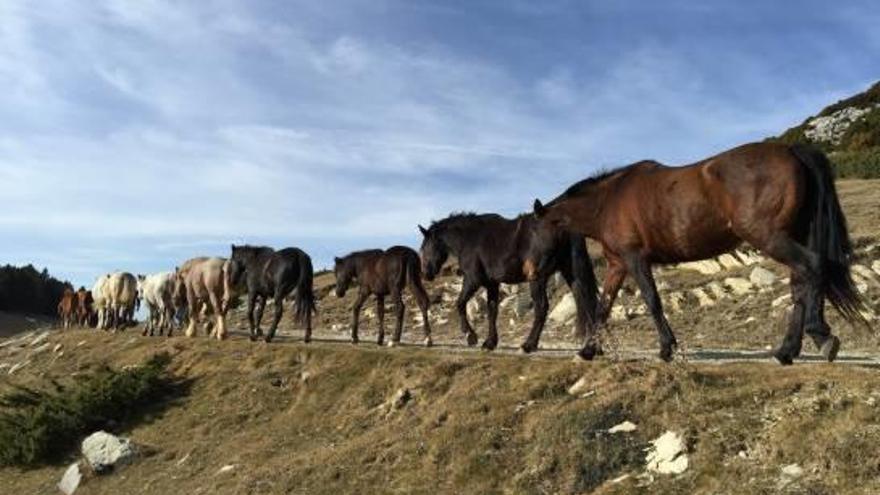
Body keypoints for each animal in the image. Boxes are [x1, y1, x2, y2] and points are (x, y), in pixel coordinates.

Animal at [418, 213, 600, 352]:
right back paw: (590, 345)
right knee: (585, 300)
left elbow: (460, 303)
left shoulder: (472, 280)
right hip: (570, 272)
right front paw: (490, 342)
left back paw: (529, 345)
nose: (426, 274)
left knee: (542, 307)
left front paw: (470, 336)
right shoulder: (492, 284)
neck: (469, 239)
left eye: (425, 247)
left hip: (538, 278)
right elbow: (492, 311)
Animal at [528, 141, 868, 366]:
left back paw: (820, 335)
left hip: (770, 237)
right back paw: (788, 350)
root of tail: (793, 151)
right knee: (801, 285)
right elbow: (602, 308)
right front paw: (587, 350)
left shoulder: (636, 259)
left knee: (813, 267)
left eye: (535, 231)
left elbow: (652, 300)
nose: (530, 270)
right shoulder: (617, 265)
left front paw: (667, 348)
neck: (607, 202)